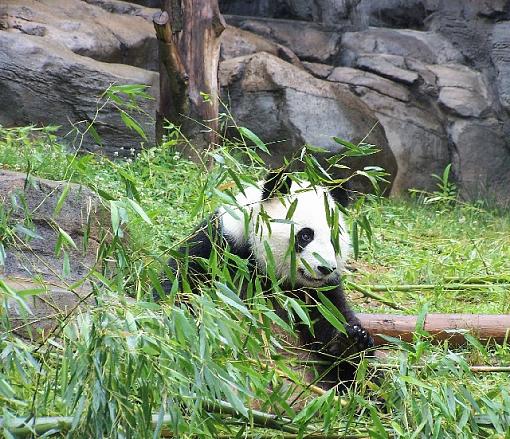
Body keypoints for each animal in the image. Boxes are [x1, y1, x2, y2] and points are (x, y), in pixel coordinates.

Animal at [164, 170, 374, 390]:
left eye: (334, 239)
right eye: (306, 235)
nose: (325, 268)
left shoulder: (319, 293)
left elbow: (333, 322)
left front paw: (352, 343)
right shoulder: (221, 244)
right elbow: (183, 286)